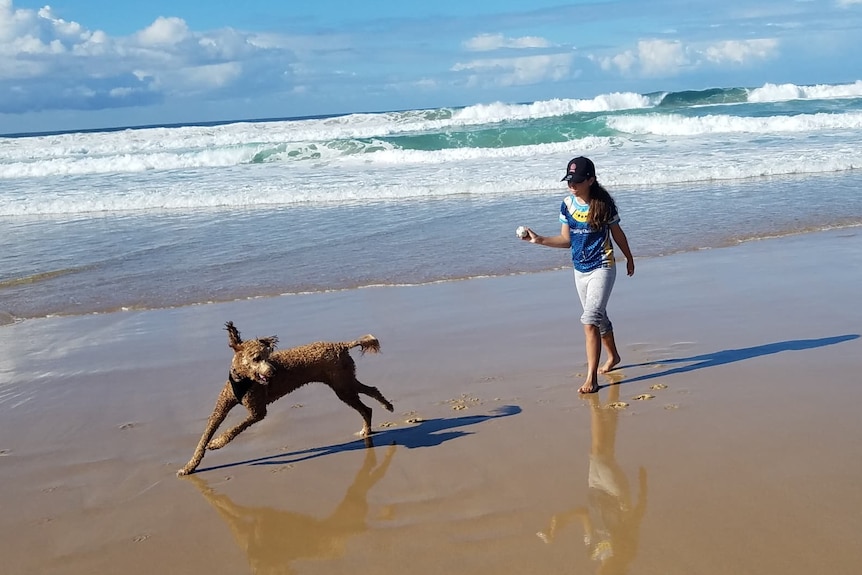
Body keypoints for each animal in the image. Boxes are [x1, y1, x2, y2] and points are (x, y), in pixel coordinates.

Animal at [177, 320, 394, 476]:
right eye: (257, 358)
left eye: (267, 355)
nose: (273, 372)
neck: (243, 380)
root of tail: (341, 345)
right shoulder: (220, 410)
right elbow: (203, 439)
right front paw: (190, 466)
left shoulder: (257, 411)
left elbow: (233, 430)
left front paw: (217, 443)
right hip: (345, 383)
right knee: (370, 395)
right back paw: (376, 418)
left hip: (343, 386)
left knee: (367, 404)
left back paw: (380, 415)